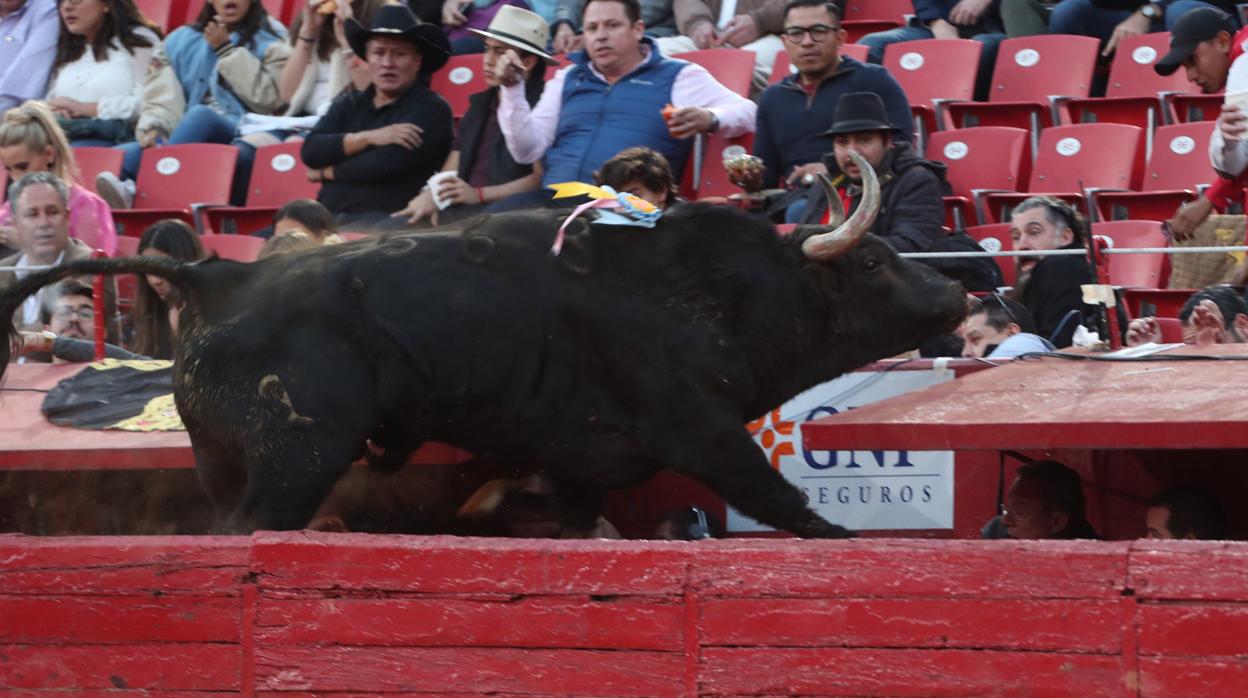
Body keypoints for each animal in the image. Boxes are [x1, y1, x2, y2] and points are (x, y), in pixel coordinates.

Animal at [0, 197, 963, 541]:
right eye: (873, 260)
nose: (959, 291)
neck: (709, 291)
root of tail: (218, 273)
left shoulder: (581, 461)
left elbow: (564, 515)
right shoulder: (699, 429)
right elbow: (782, 500)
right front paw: (841, 543)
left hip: (224, 460)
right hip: (295, 456)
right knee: (254, 529)